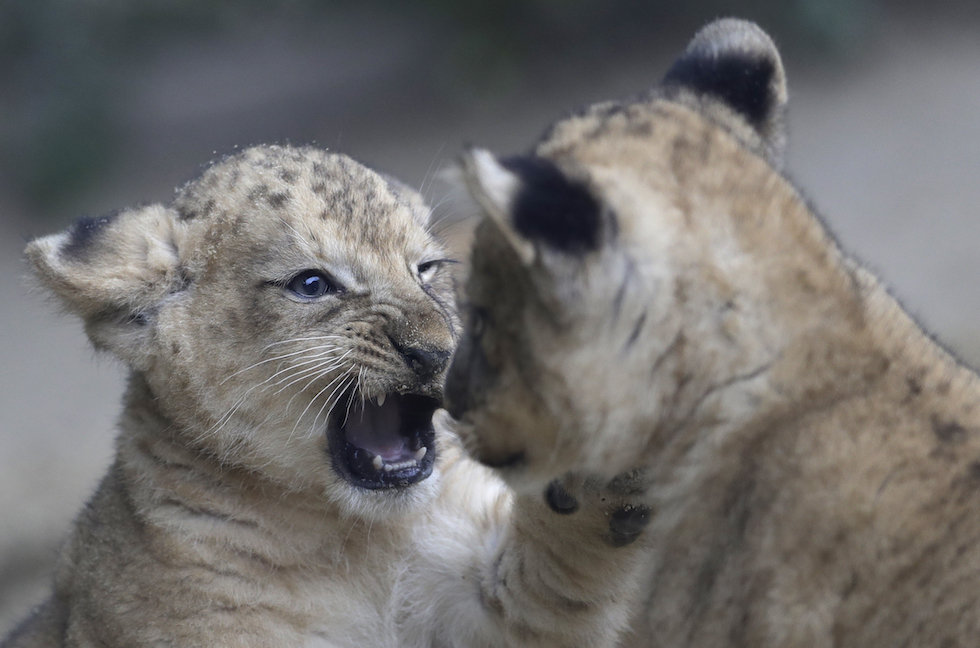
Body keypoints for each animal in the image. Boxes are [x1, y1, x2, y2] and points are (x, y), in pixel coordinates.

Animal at [3, 144, 652, 648]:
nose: (438, 353)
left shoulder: (493, 614)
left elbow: (551, 579)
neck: (364, 543)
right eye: (312, 285)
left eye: (427, 269)